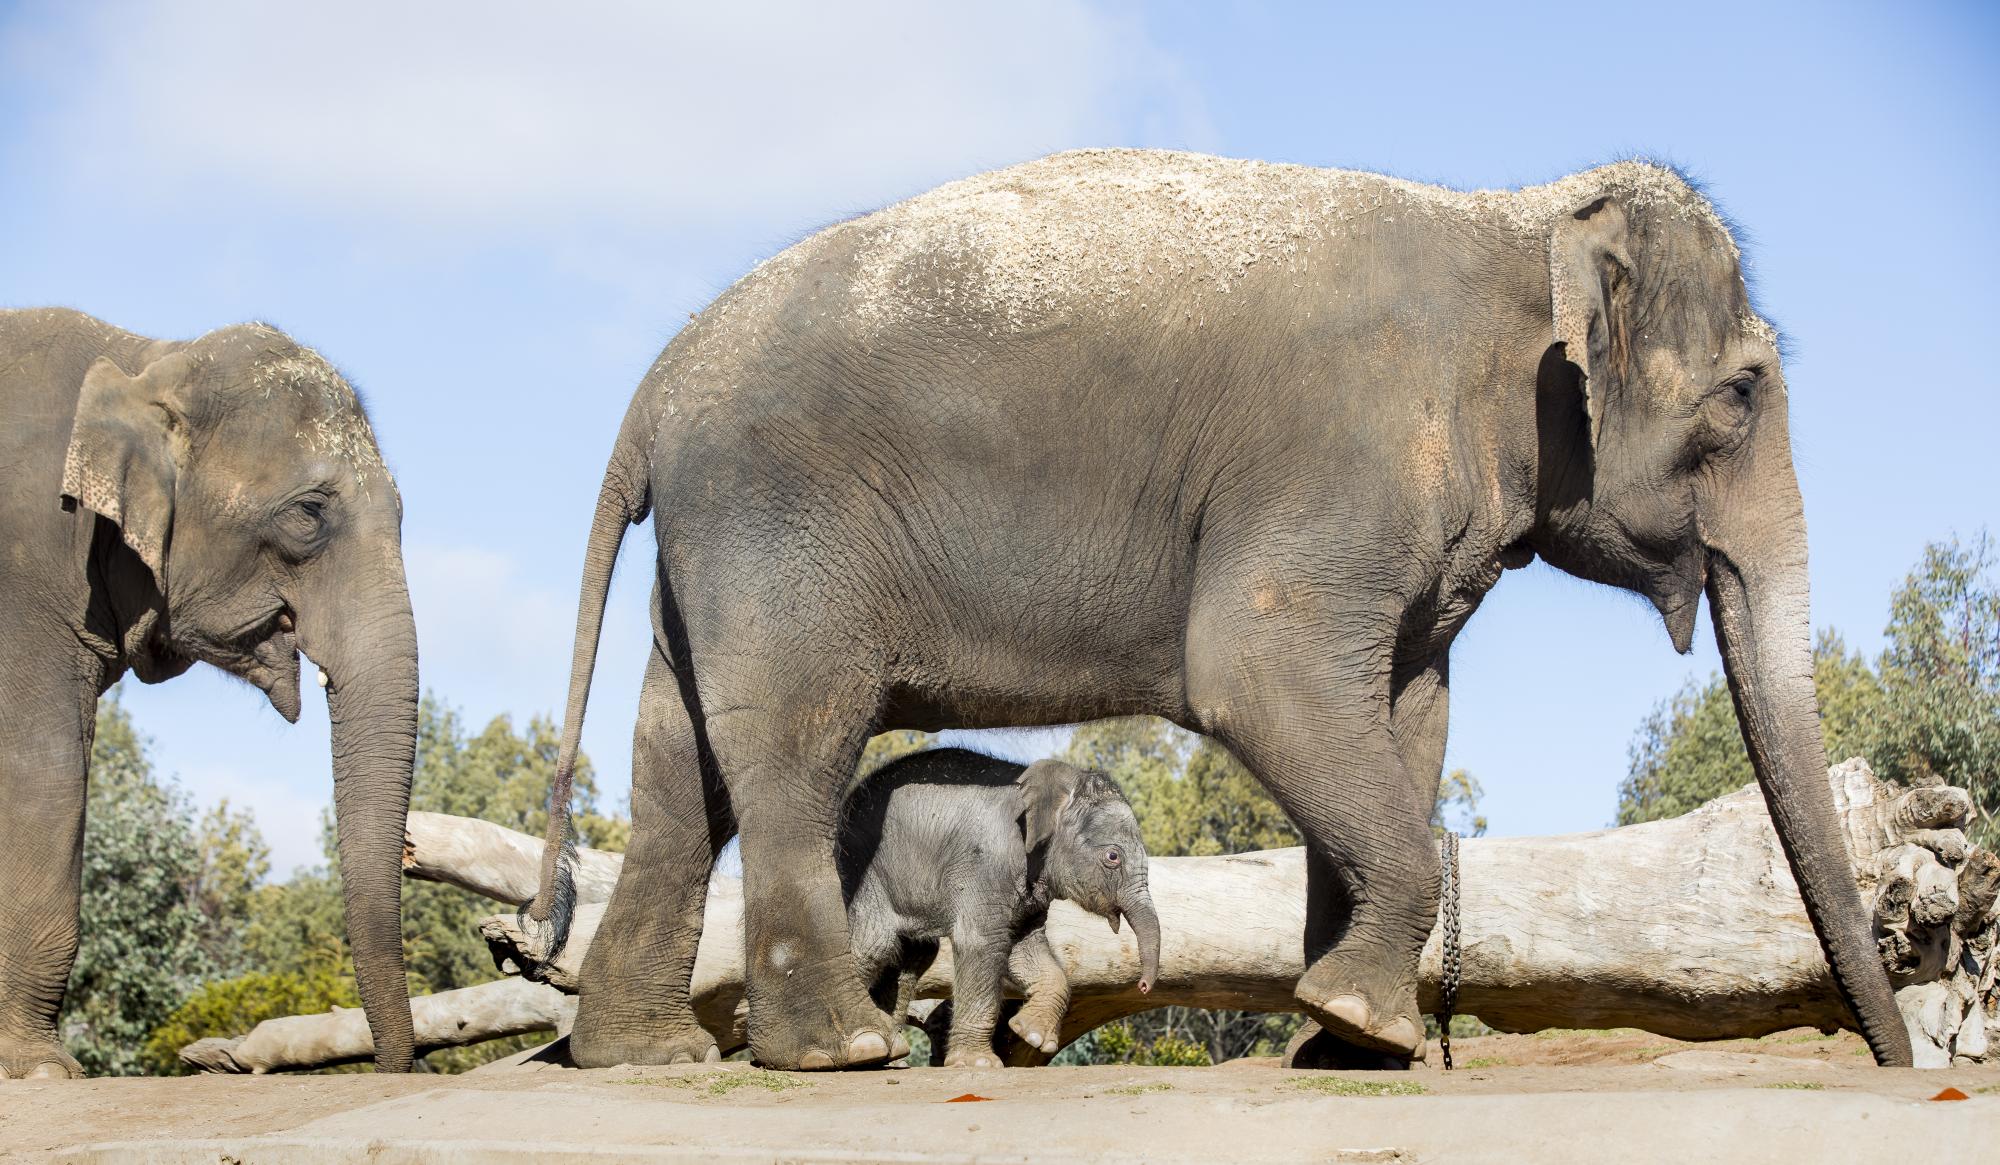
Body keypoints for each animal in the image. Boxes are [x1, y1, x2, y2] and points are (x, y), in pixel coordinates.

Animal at [0, 308, 418, 1080]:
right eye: (309, 514)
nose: (393, 1068)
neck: (144, 361)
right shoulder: (28, 571)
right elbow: (45, 768)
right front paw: (43, 1071)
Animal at [836, 752, 1168, 1072]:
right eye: (1113, 857)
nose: (1143, 986)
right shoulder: (985, 865)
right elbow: (984, 942)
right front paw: (977, 1063)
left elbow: (1024, 946)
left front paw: (1031, 1034)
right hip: (864, 874)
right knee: (872, 946)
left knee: (913, 956)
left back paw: (889, 1056)